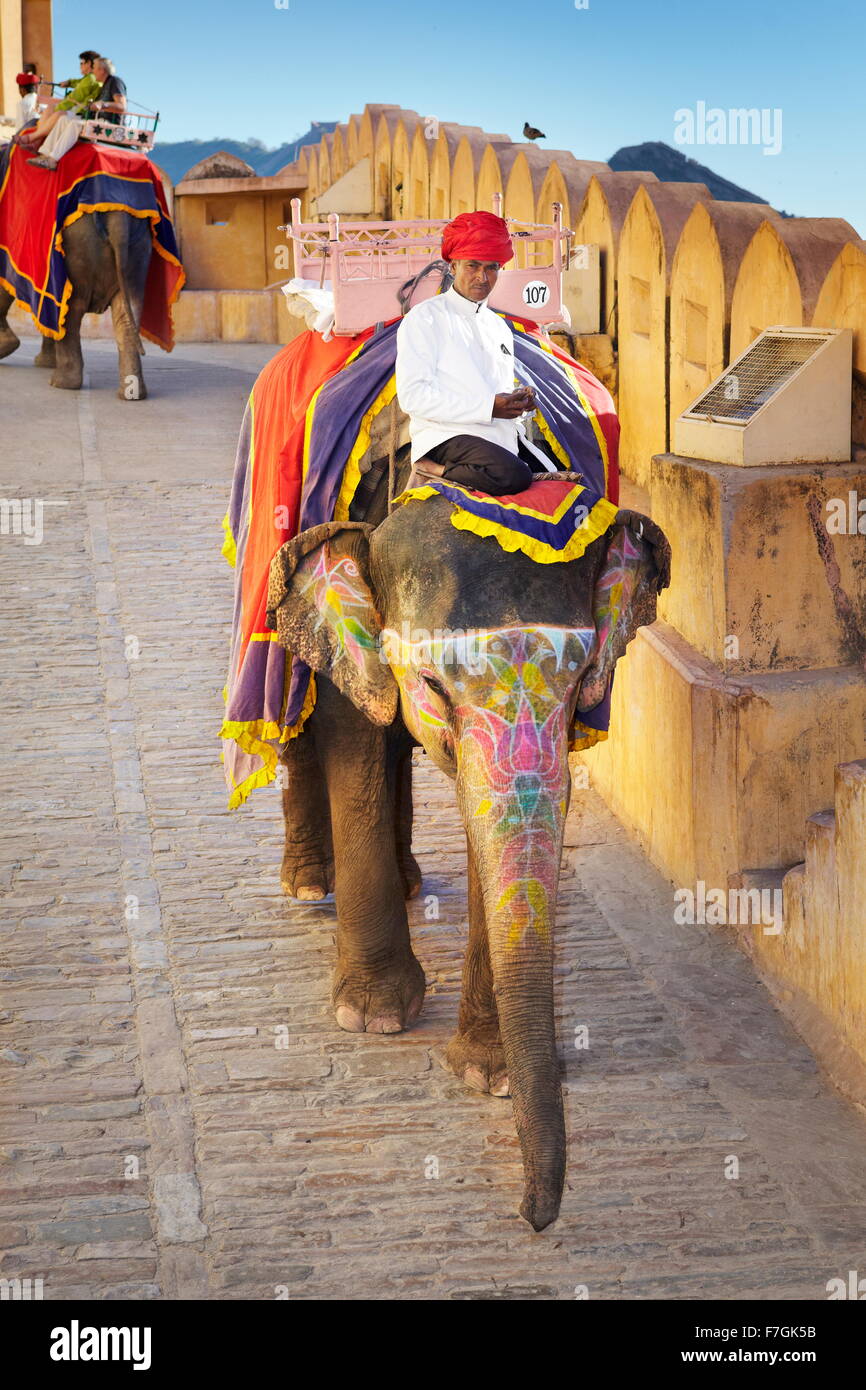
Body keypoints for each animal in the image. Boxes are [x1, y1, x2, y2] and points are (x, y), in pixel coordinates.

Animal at [0, 208, 150, 400]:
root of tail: (118, 217)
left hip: (77, 245)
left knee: (72, 309)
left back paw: (61, 384)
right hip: (137, 248)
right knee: (127, 309)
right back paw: (131, 394)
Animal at [269, 494, 670, 1234]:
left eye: (582, 681)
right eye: (431, 681)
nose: (532, 1217)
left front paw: (492, 1074)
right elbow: (357, 733)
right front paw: (373, 1016)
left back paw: (407, 880)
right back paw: (309, 882)